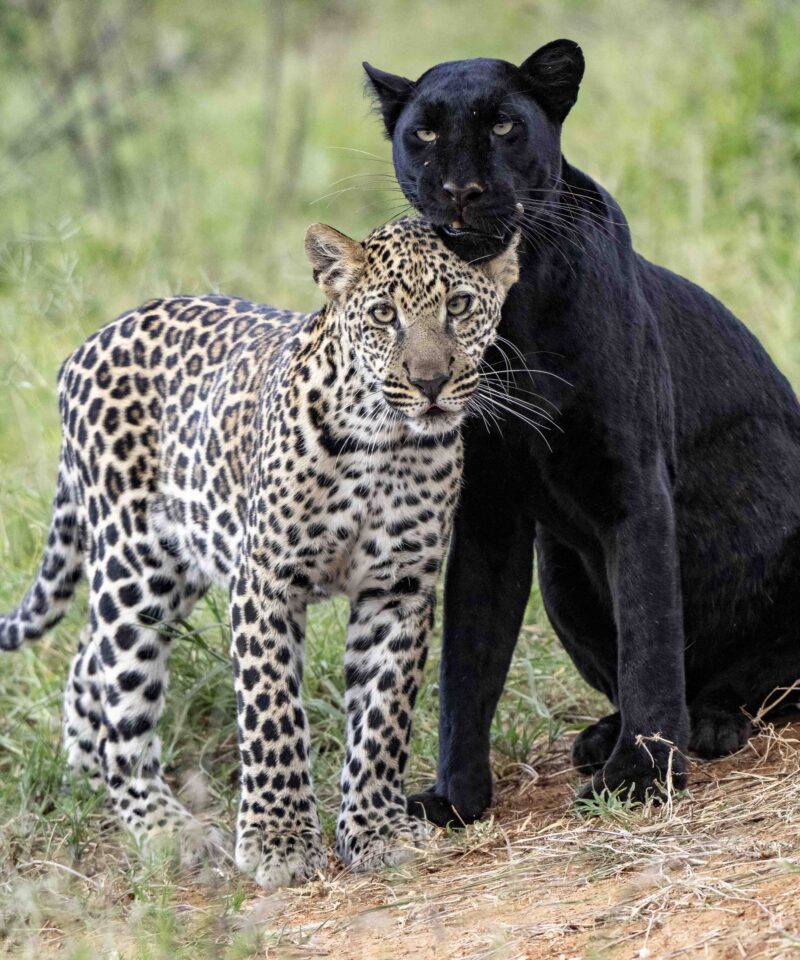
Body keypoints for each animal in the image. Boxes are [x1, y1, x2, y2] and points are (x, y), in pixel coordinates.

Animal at [0, 216, 518, 890]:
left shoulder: (399, 589)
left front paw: (375, 829)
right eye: (384, 315)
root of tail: (84, 347)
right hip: (135, 566)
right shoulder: (265, 578)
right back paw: (169, 828)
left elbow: (383, 716)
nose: (429, 382)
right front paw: (279, 841)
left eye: (458, 306)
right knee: (122, 698)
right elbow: (272, 711)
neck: (386, 445)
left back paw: (89, 772)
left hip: (179, 562)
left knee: (89, 658)